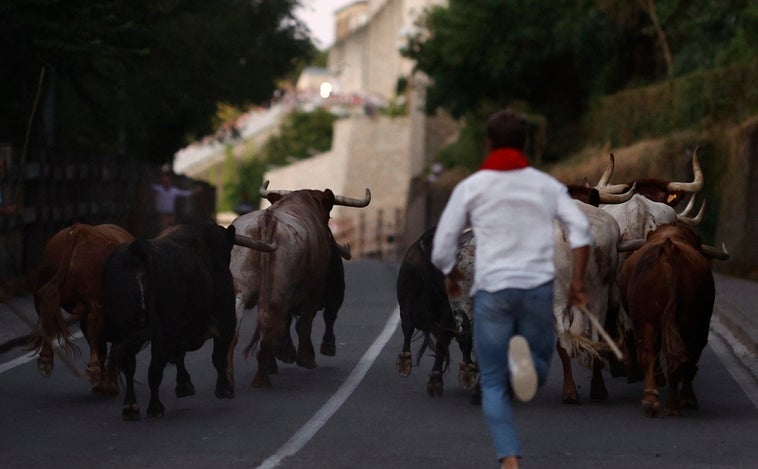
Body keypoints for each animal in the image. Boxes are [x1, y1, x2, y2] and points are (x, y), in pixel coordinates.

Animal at [29, 221, 135, 394]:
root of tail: (80, 229)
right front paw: (107, 384)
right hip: (94, 300)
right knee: (92, 328)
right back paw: (93, 371)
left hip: (41, 291)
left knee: (46, 318)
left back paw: (45, 360)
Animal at [102, 221, 274, 418]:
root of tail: (138, 250)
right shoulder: (225, 320)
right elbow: (218, 356)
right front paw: (224, 389)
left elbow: (179, 355)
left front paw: (184, 385)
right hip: (161, 332)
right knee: (154, 368)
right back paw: (155, 407)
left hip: (124, 329)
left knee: (129, 364)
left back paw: (131, 407)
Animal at [233, 181, 372, 386]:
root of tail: (268, 220)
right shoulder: (322, 292)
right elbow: (315, 320)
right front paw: (311, 355)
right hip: (285, 292)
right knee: (281, 323)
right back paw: (265, 375)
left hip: (242, 292)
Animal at [620, 224, 732, 416]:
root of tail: (668, 250)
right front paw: (688, 399)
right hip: (691, 323)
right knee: (680, 358)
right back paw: (673, 404)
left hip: (649, 321)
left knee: (654, 354)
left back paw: (653, 401)